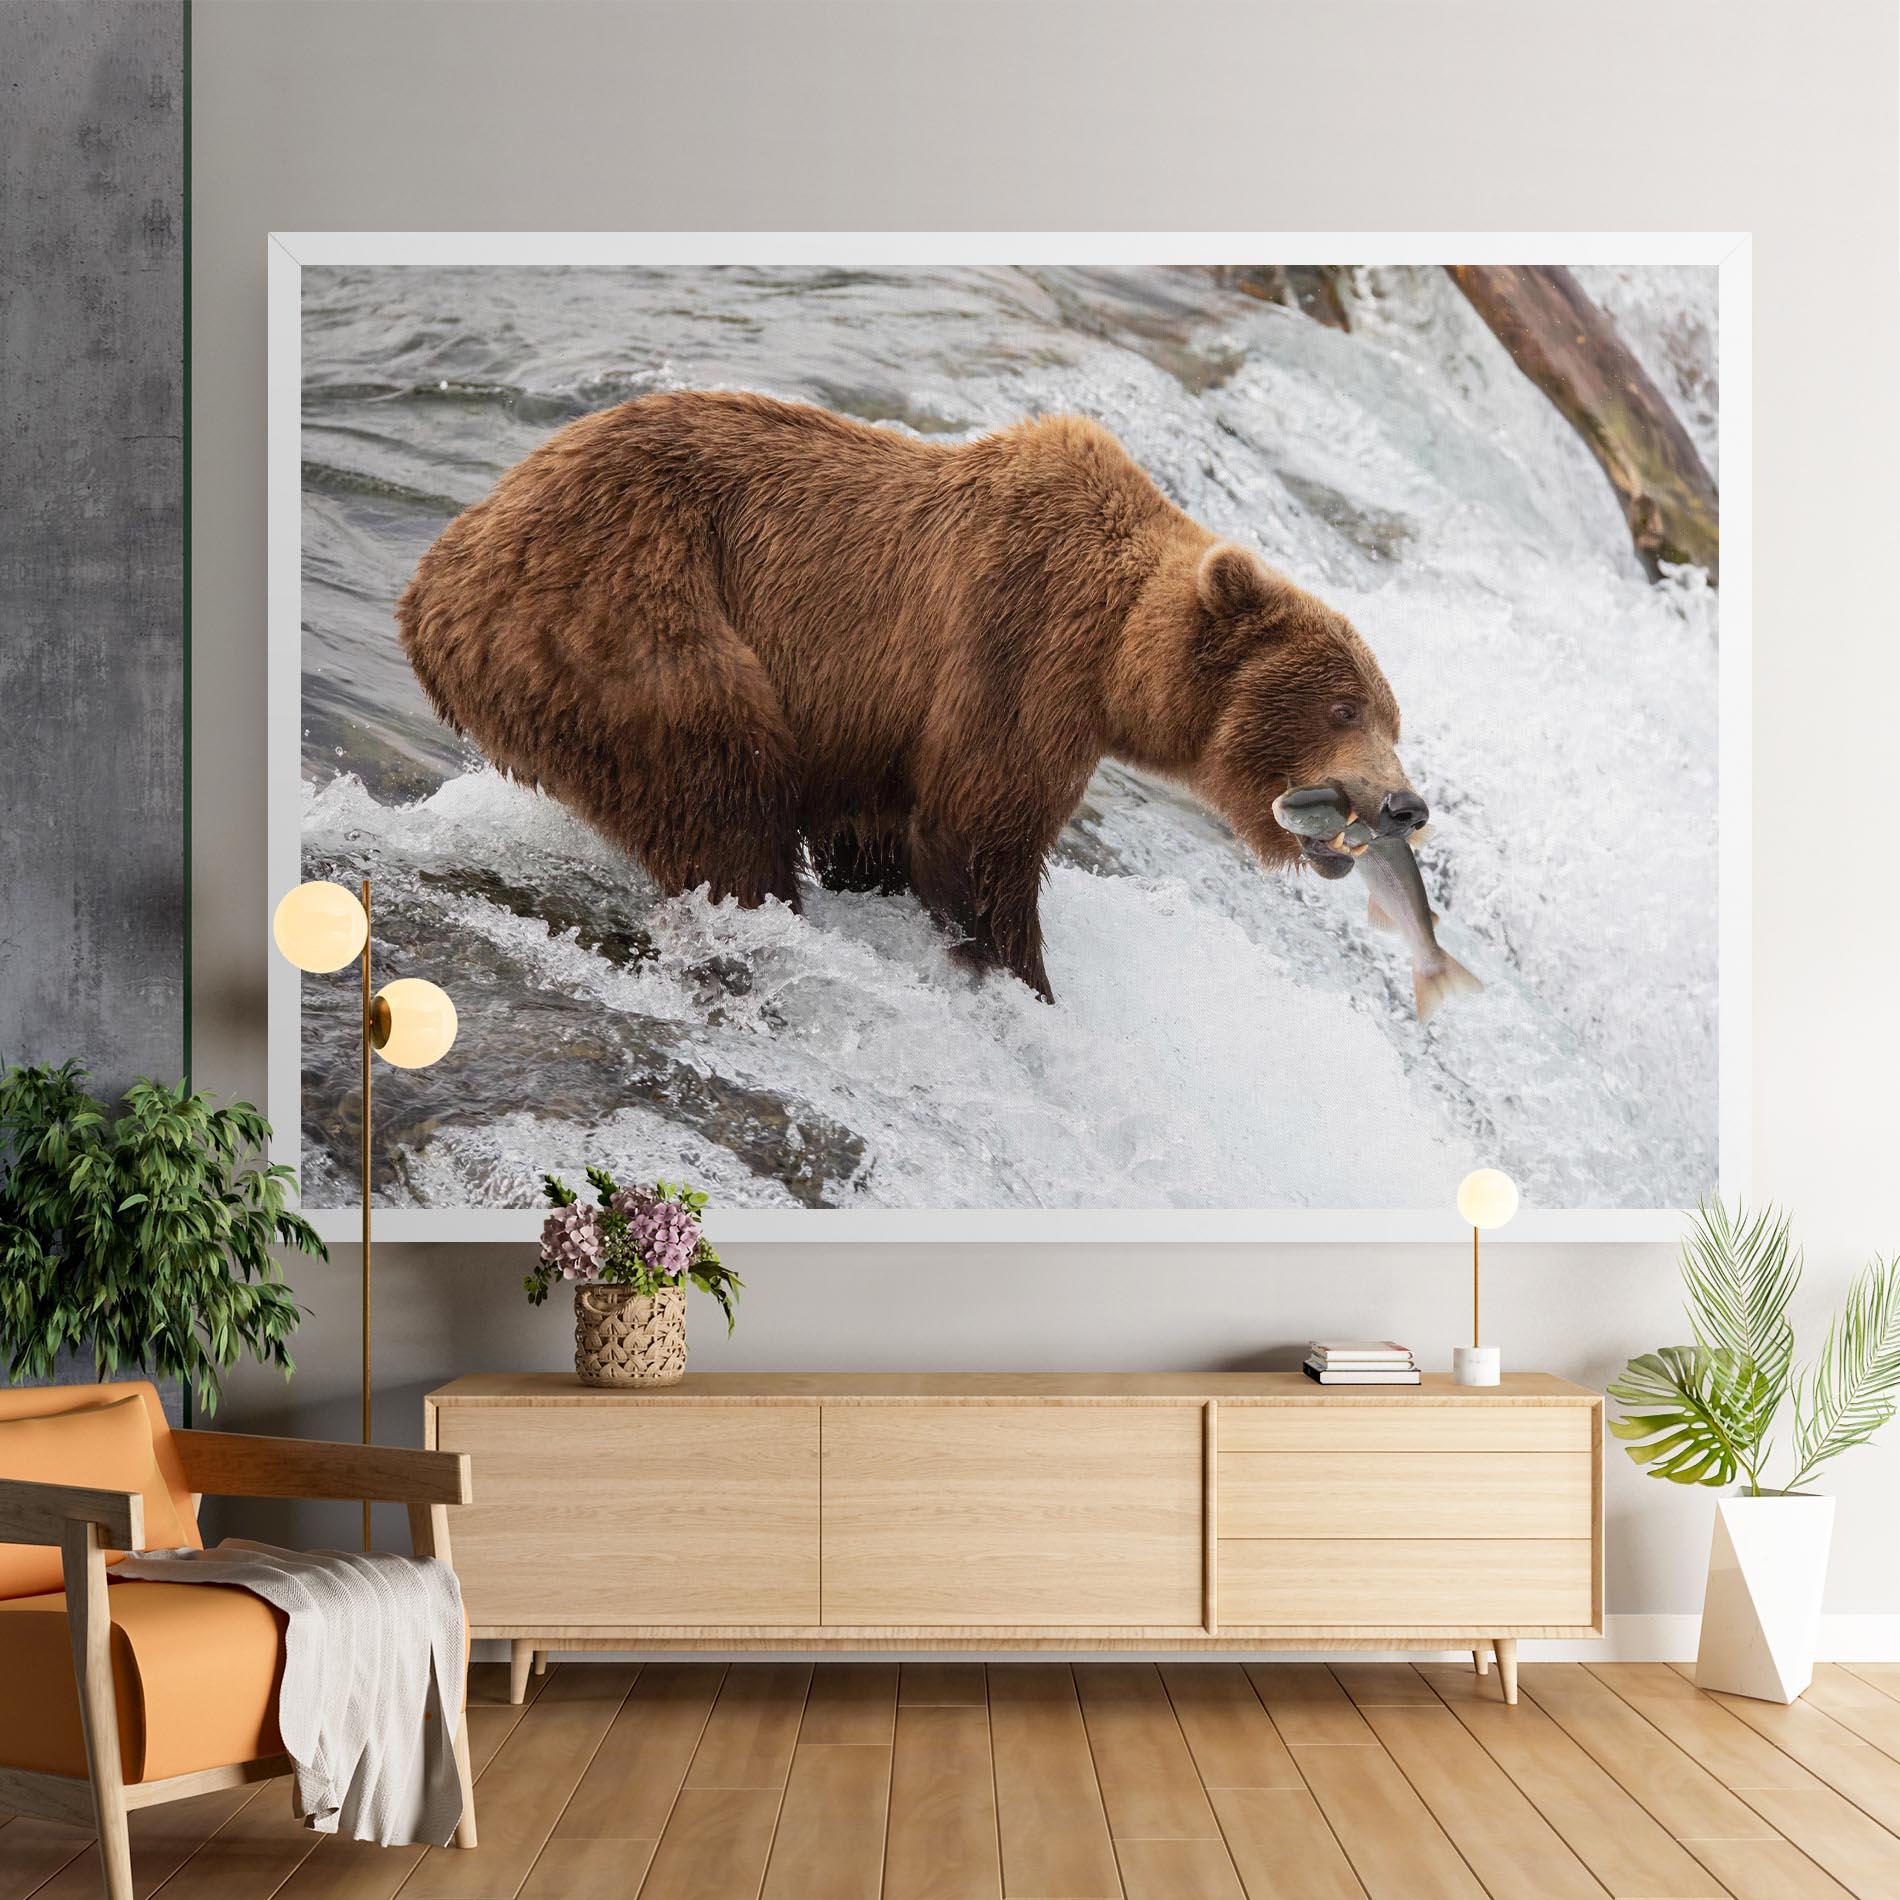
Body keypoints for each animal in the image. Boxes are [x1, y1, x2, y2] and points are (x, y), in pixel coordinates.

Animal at [397, 390, 1426, 1002]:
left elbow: (882, 833)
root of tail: (434, 579)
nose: (1405, 805)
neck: (1114, 656)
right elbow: (978, 836)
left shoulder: (878, 730)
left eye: (1392, 716)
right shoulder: (1015, 650)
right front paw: (1023, 981)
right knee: (721, 794)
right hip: (627, 620)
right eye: (1344, 708)